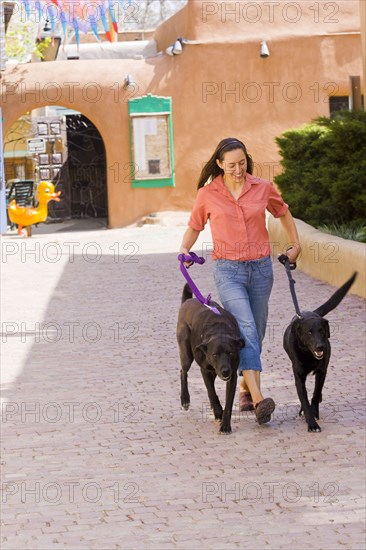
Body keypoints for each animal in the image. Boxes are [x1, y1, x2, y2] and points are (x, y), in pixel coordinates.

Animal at [177, 284, 244, 436]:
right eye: (215, 354)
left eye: (230, 353)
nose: (225, 371)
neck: (219, 330)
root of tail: (187, 302)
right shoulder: (205, 370)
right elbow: (211, 392)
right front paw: (218, 412)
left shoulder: (232, 375)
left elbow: (228, 402)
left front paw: (225, 425)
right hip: (186, 354)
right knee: (183, 371)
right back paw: (185, 399)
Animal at [284, 274, 358, 434]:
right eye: (309, 332)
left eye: (322, 330)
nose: (320, 346)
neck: (309, 355)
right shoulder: (299, 377)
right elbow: (304, 399)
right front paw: (312, 423)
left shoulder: (322, 371)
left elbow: (316, 393)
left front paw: (314, 412)